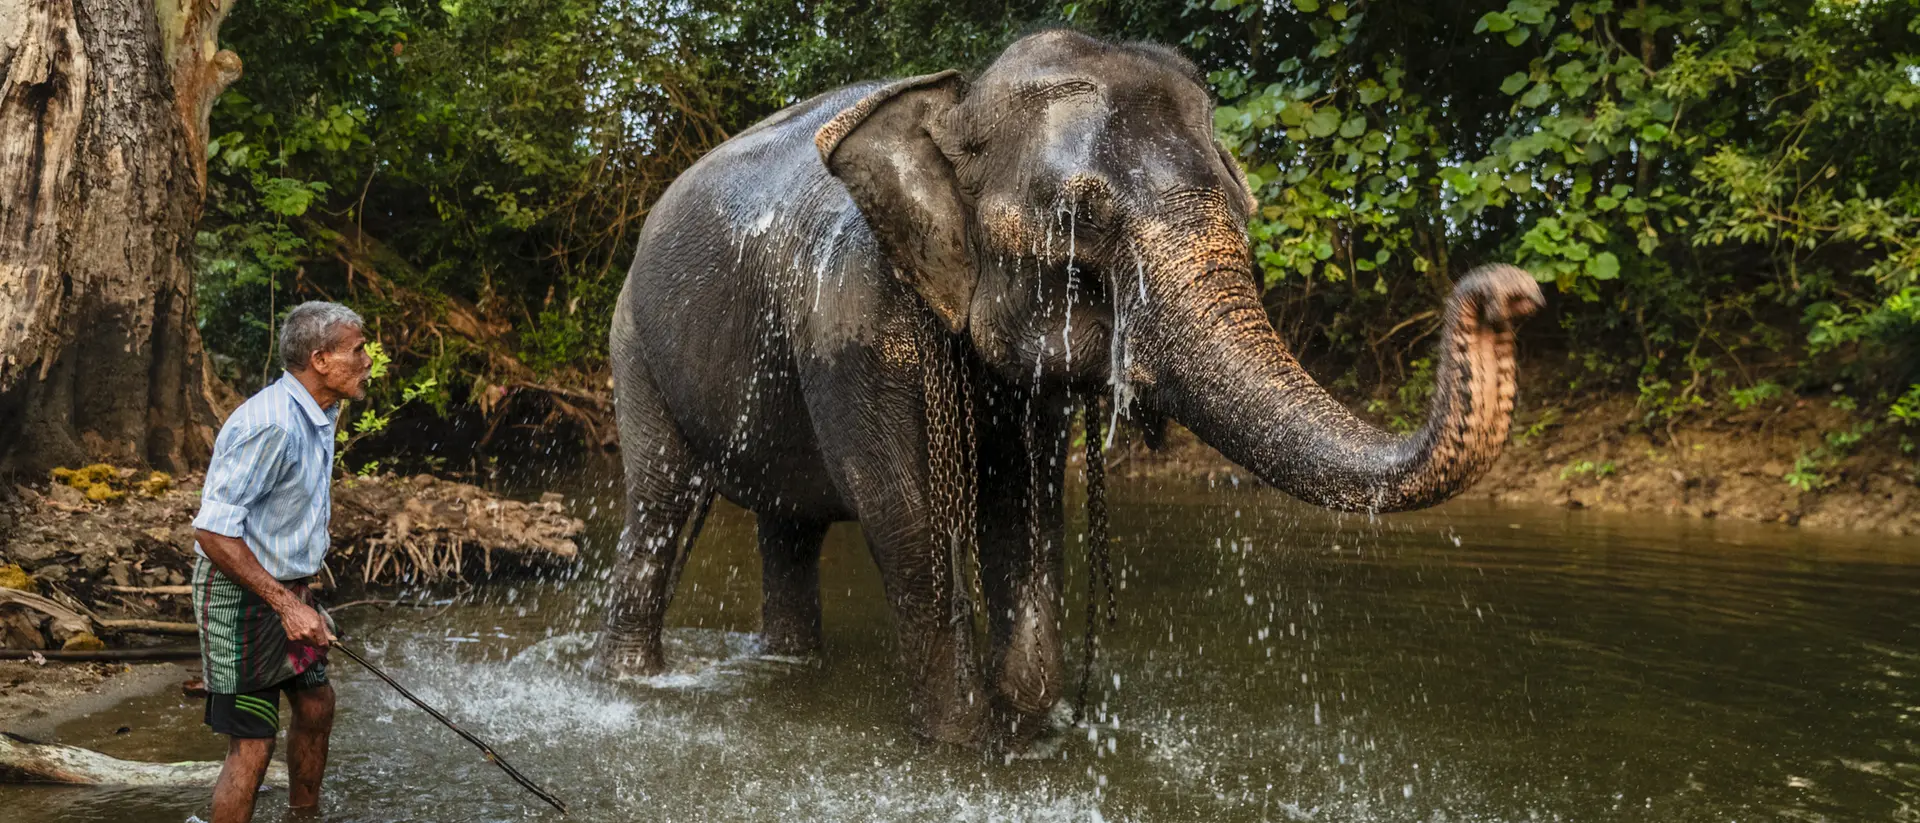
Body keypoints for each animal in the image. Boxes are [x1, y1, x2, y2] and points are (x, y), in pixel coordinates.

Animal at [597, 28, 1543, 749]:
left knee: (787, 527)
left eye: (1243, 208)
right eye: (1078, 220)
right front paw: (962, 746)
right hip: (633, 341)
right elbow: (910, 522)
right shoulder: (856, 320)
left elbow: (1027, 509)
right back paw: (632, 682)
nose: (1510, 293)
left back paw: (784, 665)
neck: (956, 100)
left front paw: (1028, 725)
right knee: (662, 501)